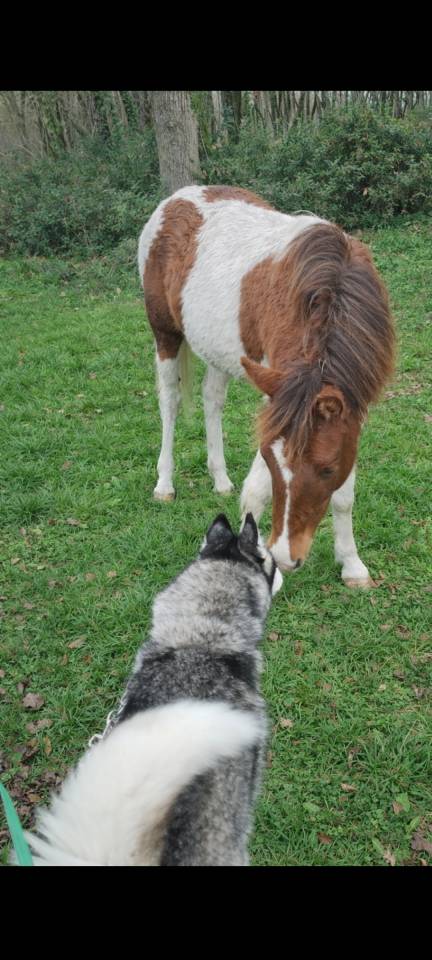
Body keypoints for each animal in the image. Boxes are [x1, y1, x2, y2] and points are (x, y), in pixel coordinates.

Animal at [138, 185, 395, 586]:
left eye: (326, 469)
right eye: (274, 464)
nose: (288, 557)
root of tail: (177, 198)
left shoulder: (353, 408)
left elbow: (344, 495)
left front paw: (352, 564)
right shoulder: (277, 395)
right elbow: (257, 488)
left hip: (220, 352)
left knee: (212, 399)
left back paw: (220, 478)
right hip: (165, 334)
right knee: (170, 402)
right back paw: (164, 484)